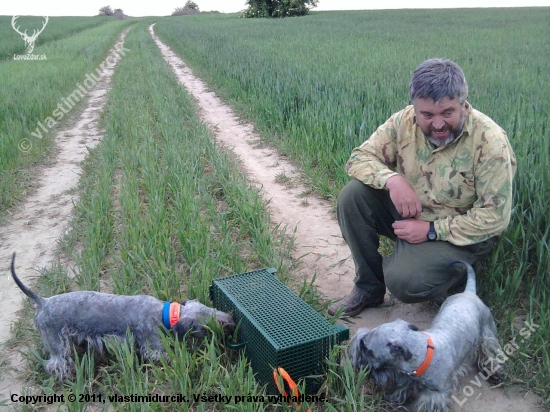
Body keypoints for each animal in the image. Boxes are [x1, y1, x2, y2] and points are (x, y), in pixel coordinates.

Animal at [10, 253, 235, 382]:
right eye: (207, 323)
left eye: (211, 308)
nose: (230, 321)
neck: (164, 314)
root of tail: (42, 302)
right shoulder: (152, 346)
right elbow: (166, 356)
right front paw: (186, 364)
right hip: (56, 344)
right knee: (55, 364)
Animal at [354, 260, 504, 412]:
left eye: (368, 350)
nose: (360, 342)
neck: (423, 352)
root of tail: (468, 293)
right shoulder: (405, 380)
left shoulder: (435, 394)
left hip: (487, 333)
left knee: (490, 353)